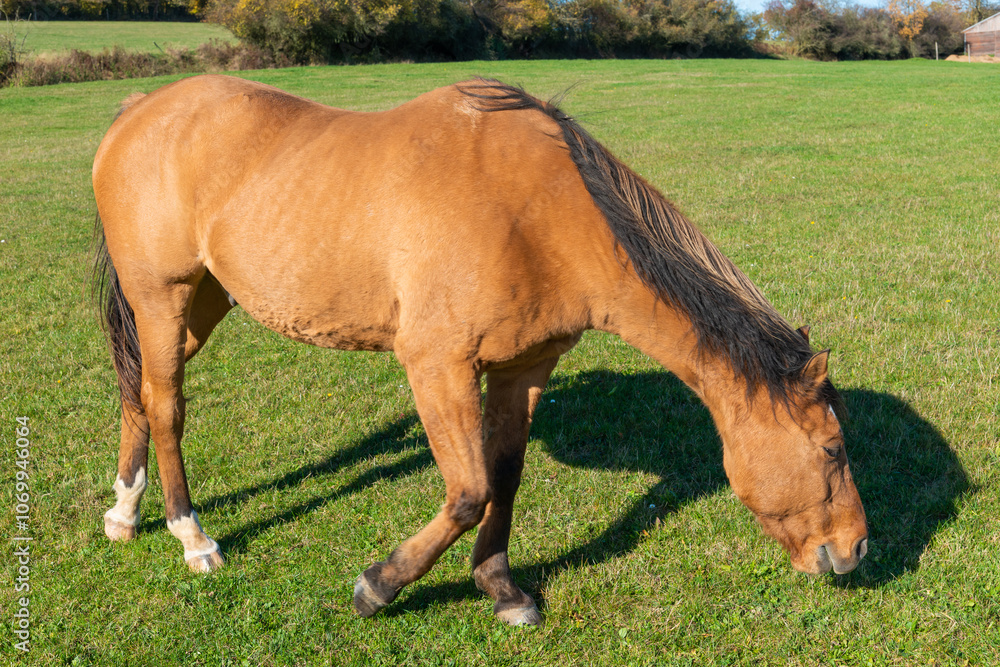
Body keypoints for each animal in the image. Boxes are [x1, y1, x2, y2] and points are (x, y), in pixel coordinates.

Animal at [92, 75, 868, 626]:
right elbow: (469, 491)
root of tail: (140, 108)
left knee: (137, 392)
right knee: (167, 404)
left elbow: (505, 476)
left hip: (201, 303)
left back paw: (125, 515)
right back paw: (192, 537)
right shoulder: (438, 365)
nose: (855, 550)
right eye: (832, 449)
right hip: (161, 296)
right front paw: (379, 586)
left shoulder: (523, 368)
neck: (543, 213)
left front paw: (500, 588)